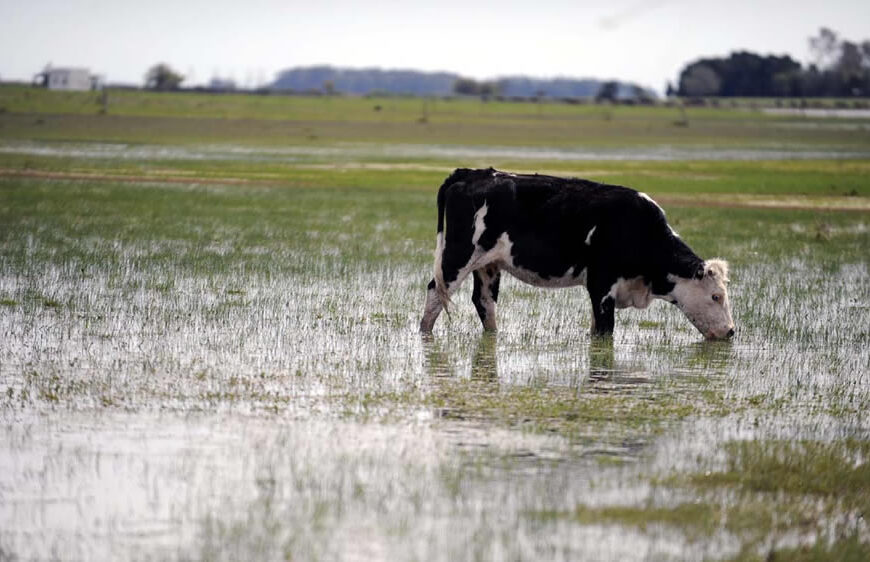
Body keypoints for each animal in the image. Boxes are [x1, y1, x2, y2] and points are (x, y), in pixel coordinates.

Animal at [420, 166, 736, 340]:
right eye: (716, 296)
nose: (732, 331)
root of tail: (471, 173)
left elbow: (596, 329)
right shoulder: (602, 285)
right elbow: (605, 331)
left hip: (488, 265)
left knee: (484, 301)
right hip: (458, 256)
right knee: (436, 291)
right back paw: (425, 333)